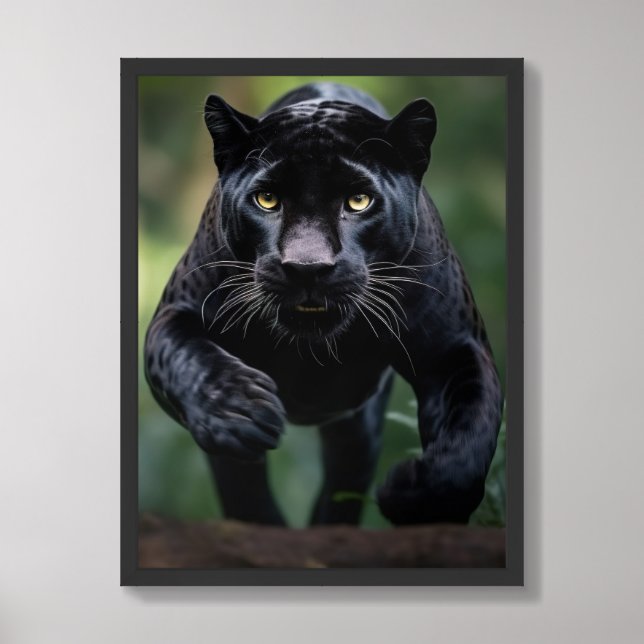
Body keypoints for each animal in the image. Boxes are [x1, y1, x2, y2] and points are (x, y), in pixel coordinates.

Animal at [144, 82, 504, 526]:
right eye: (266, 199)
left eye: (359, 201)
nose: (307, 268)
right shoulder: (176, 314)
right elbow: (189, 359)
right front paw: (240, 410)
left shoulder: (454, 349)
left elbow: (468, 437)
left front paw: (415, 496)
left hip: (358, 429)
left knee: (340, 489)